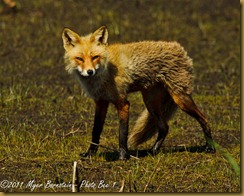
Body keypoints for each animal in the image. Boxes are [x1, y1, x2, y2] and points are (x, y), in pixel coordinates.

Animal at [62, 25, 214, 160]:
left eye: (95, 57)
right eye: (79, 59)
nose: (90, 72)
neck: (104, 73)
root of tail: (180, 48)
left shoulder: (123, 103)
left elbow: (122, 133)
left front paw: (123, 157)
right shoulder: (101, 102)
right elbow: (96, 131)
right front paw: (89, 154)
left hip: (180, 99)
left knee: (204, 118)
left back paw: (210, 147)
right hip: (151, 103)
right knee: (164, 127)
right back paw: (153, 151)